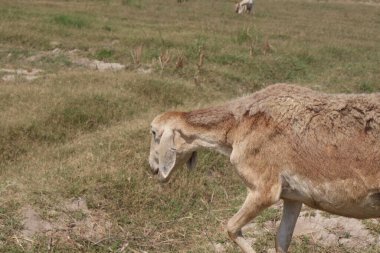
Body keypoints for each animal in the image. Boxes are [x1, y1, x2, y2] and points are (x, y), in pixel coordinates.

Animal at [148, 84, 380, 252]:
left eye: (154, 132)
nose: (152, 168)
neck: (236, 126)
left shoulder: (264, 189)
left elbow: (231, 227)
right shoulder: (293, 197)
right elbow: (281, 239)